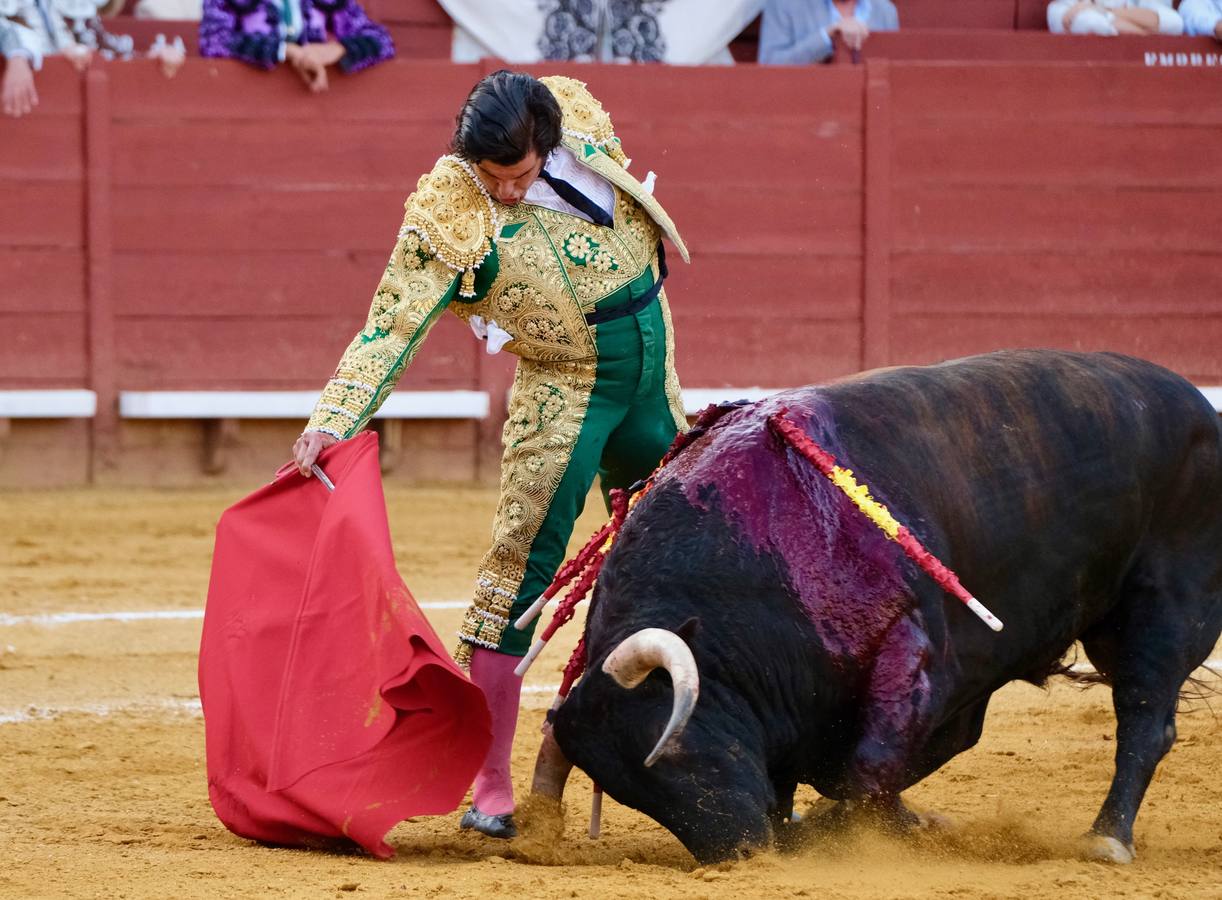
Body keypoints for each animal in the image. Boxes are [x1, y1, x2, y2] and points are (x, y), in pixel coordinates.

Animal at [530, 349, 1217, 865]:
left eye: (672, 748)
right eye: (629, 791)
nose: (742, 852)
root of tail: (1197, 407)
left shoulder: (908, 650)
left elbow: (866, 766)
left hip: (1165, 610)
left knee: (1145, 717)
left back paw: (1106, 839)